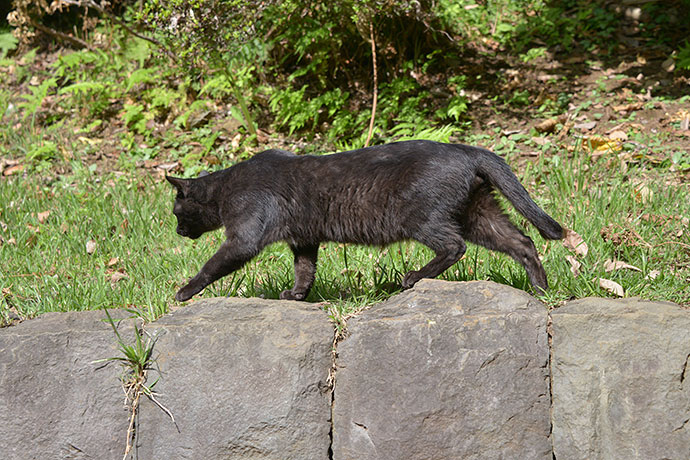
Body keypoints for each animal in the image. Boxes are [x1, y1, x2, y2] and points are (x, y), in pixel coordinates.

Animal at [165, 140, 560, 302]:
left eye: (176, 212)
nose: (178, 231)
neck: (226, 188)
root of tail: (468, 150)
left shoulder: (243, 238)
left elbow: (211, 265)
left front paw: (184, 292)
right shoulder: (304, 239)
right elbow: (305, 270)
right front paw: (296, 295)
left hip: (423, 218)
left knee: (453, 246)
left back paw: (412, 279)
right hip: (479, 214)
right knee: (523, 242)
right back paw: (541, 290)